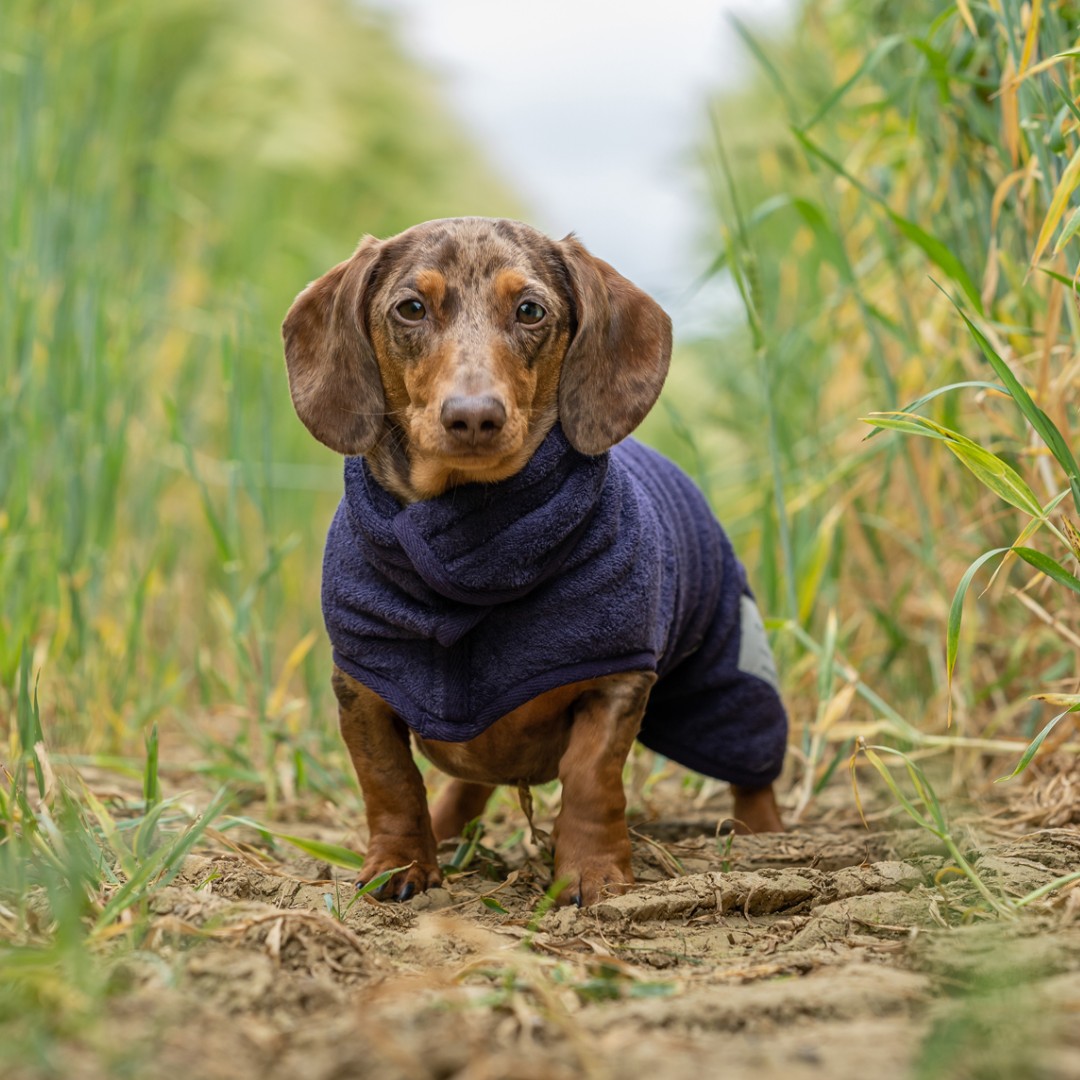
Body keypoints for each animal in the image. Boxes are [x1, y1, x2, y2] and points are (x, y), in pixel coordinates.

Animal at [280, 219, 786, 911]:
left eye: (530, 310)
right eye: (410, 308)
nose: (473, 416)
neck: (472, 539)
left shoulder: (616, 680)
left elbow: (591, 777)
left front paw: (592, 874)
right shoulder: (362, 688)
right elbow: (389, 781)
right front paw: (398, 865)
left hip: (728, 665)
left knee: (752, 765)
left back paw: (769, 841)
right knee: (468, 783)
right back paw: (446, 832)